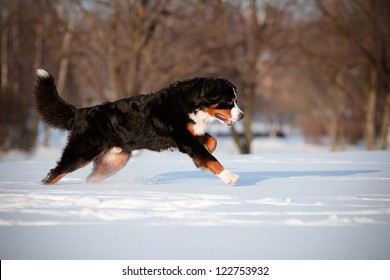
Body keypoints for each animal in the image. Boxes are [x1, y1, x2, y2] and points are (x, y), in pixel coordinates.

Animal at [35, 69, 245, 185]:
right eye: (229, 102)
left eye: (236, 101)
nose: (242, 115)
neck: (191, 104)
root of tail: (80, 112)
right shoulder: (184, 138)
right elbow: (211, 160)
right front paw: (230, 176)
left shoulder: (192, 133)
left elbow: (212, 141)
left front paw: (208, 150)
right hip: (81, 152)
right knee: (54, 173)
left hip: (117, 160)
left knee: (90, 177)